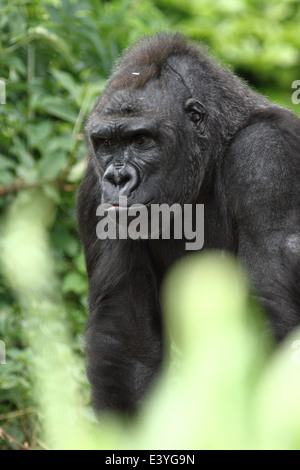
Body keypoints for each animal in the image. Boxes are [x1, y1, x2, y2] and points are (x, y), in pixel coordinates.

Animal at [77, 33, 300, 414]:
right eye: (106, 143)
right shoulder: (95, 184)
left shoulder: (268, 157)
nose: (118, 179)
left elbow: (273, 312)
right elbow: (127, 336)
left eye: (141, 140)